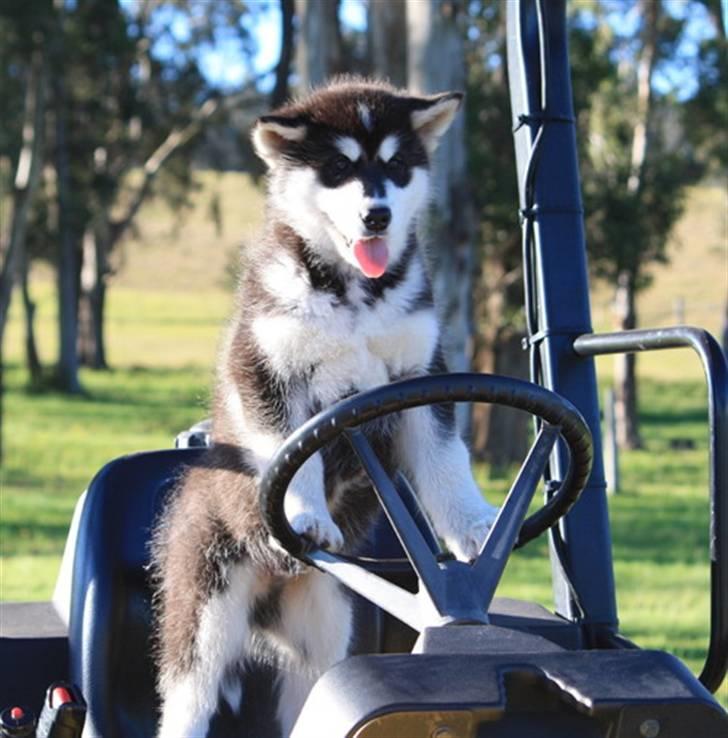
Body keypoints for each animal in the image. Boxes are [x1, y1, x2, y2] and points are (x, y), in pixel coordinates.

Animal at [151, 77, 498, 732]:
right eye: (338, 167)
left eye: (395, 165)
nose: (376, 214)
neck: (355, 296)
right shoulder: (265, 368)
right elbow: (293, 453)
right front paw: (307, 512)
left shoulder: (423, 376)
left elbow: (446, 462)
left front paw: (474, 522)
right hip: (205, 614)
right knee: (189, 701)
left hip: (324, 627)